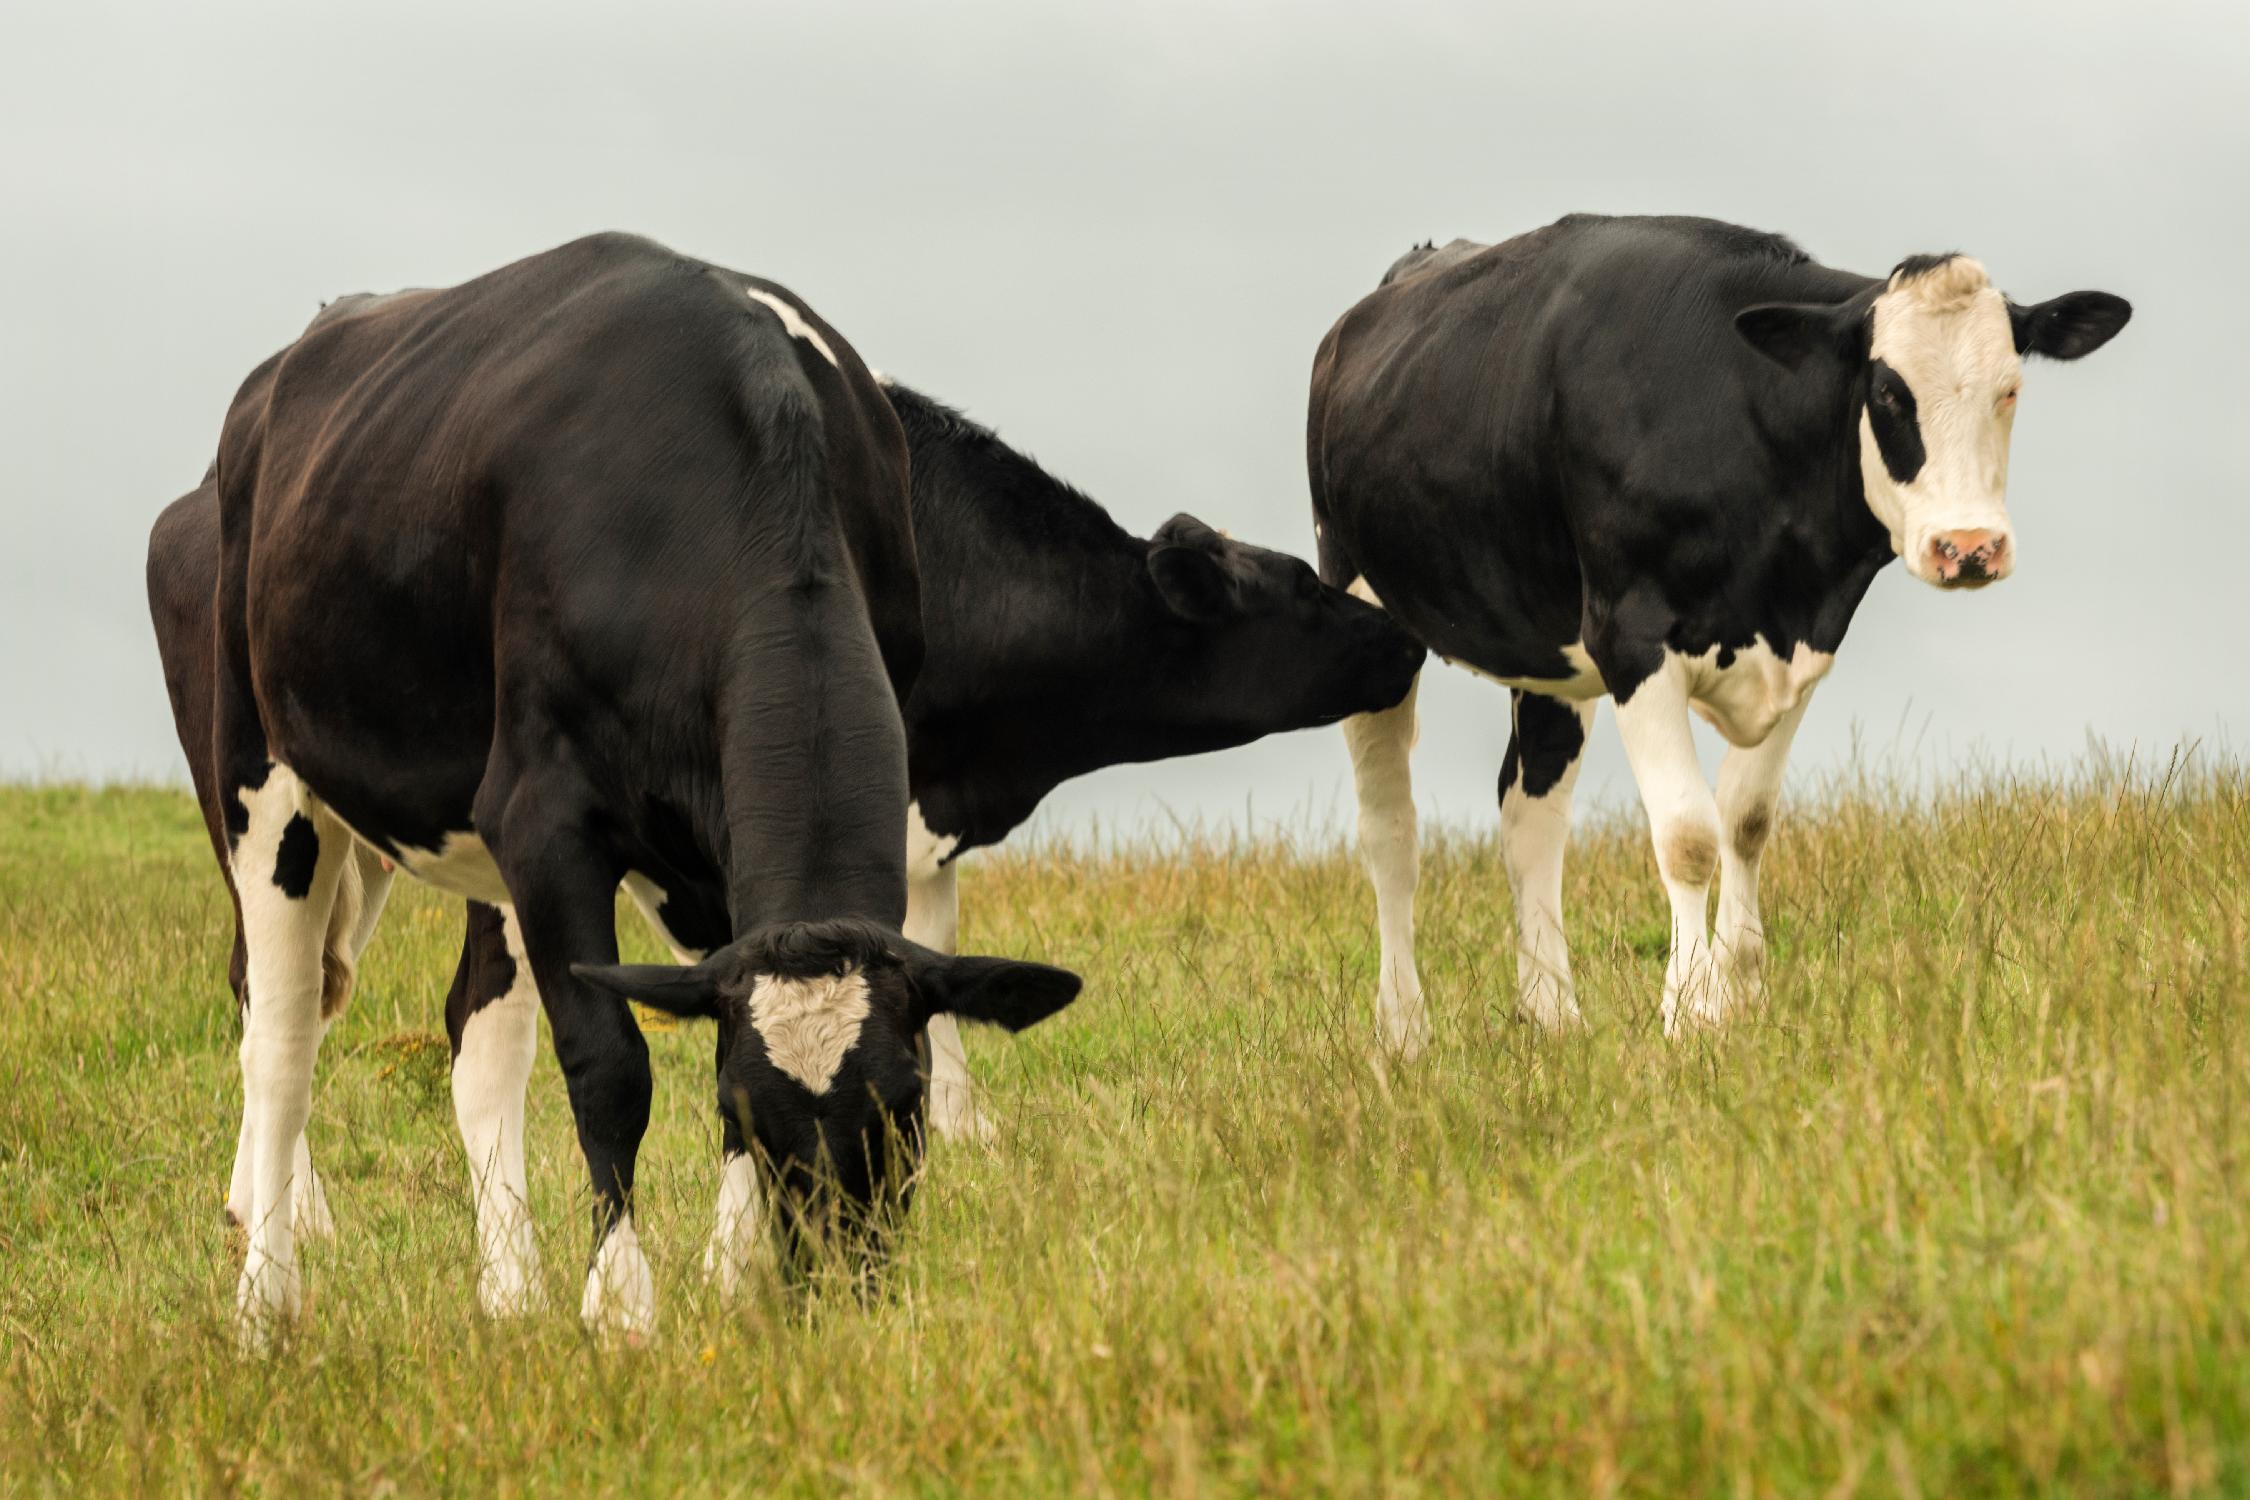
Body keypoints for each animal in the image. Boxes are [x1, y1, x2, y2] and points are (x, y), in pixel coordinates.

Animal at [1305, 217, 2124, 1052]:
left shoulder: (1805, 641)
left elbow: (1747, 820)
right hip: (1365, 611)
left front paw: (1743, 990)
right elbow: (1689, 835)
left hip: (1547, 650)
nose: (1969, 547)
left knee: (1529, 813)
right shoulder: (1631, 638)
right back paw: (1403, 1028)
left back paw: (1553, 1015)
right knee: (1390, 832)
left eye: (2010, 388)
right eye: (1890, 393)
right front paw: (1692, 1008)